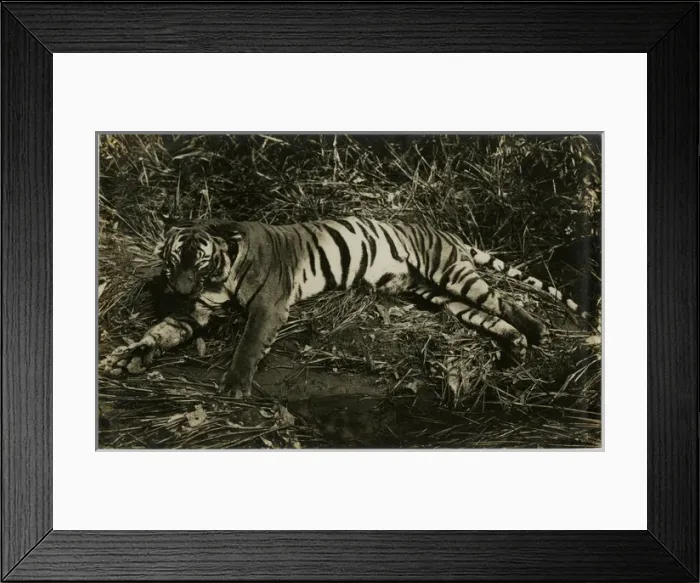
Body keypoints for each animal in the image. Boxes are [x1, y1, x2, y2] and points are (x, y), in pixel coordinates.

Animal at [99, 217, 593, 398]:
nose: (179, 287)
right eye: (171, 260)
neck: (219, 274)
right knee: (488, 315)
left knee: (504, 299)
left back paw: (537, 333)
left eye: (198, 260)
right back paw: (516, 346)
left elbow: (247, 346)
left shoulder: (268, 307)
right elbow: (157, 333)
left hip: (450, 273)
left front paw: (235, 386)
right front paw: (126, 359)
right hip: (438, 295)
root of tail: (446, 232)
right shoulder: (193, 313)